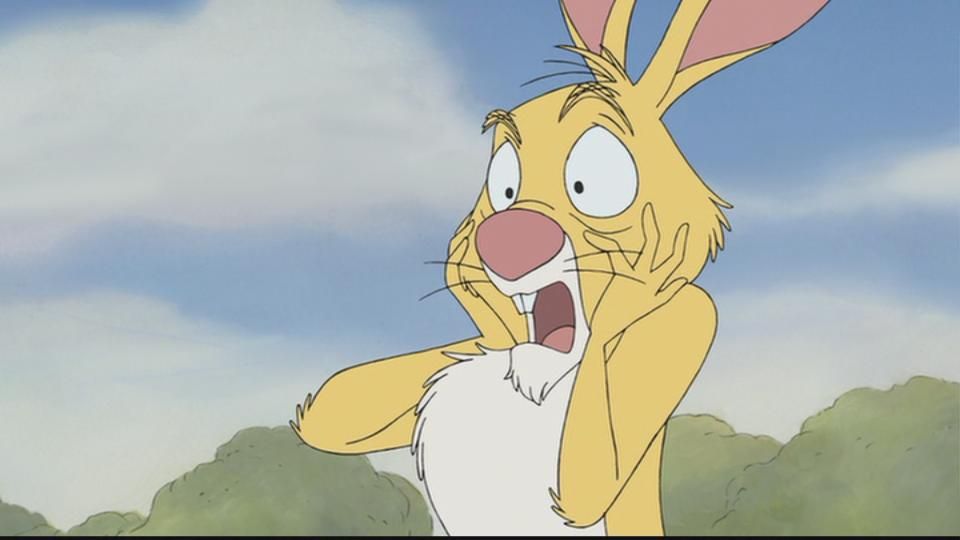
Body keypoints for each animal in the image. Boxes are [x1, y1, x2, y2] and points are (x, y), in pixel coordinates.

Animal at [292, 0, 828, 535]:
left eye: (591, 181)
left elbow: (590, 483)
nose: (508, 239)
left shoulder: (691, 317)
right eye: (505, 185)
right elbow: (333, 406)